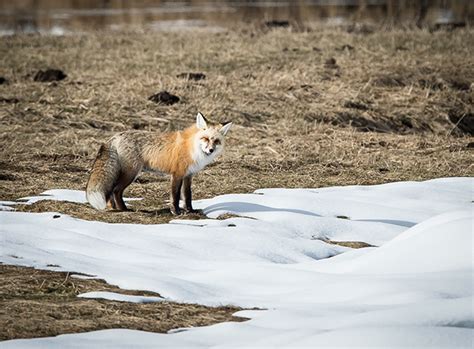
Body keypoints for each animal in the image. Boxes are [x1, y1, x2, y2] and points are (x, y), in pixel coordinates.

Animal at [86, 113, 233, 213]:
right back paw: (124, 209)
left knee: (111, 190)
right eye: (206, 138)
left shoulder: (188, 175)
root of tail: (115, 136)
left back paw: (114, 207)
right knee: (116, 190)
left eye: (216, 141)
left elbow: (187, 196)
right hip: (131, 173)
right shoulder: (177, 174)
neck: (192, 147)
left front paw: (190, 211)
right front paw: (176, 212)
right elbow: (175, 195)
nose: (211, 150)